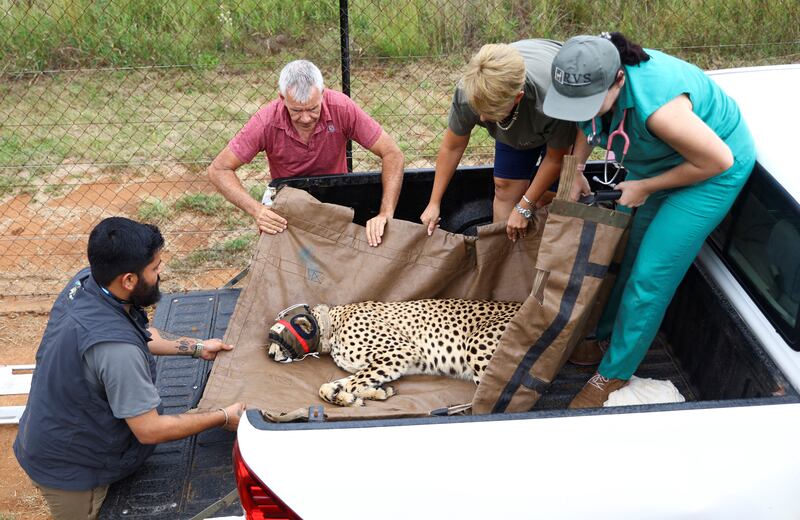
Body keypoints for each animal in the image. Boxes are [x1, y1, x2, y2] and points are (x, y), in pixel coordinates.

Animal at [266, 300, 520, 406]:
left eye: (276, 335)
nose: (269, 354)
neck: (331, 326)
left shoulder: (402, 350)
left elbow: (353, 384)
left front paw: (353, 397)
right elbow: (330, 385)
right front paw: (373, 393)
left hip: (477, 346)